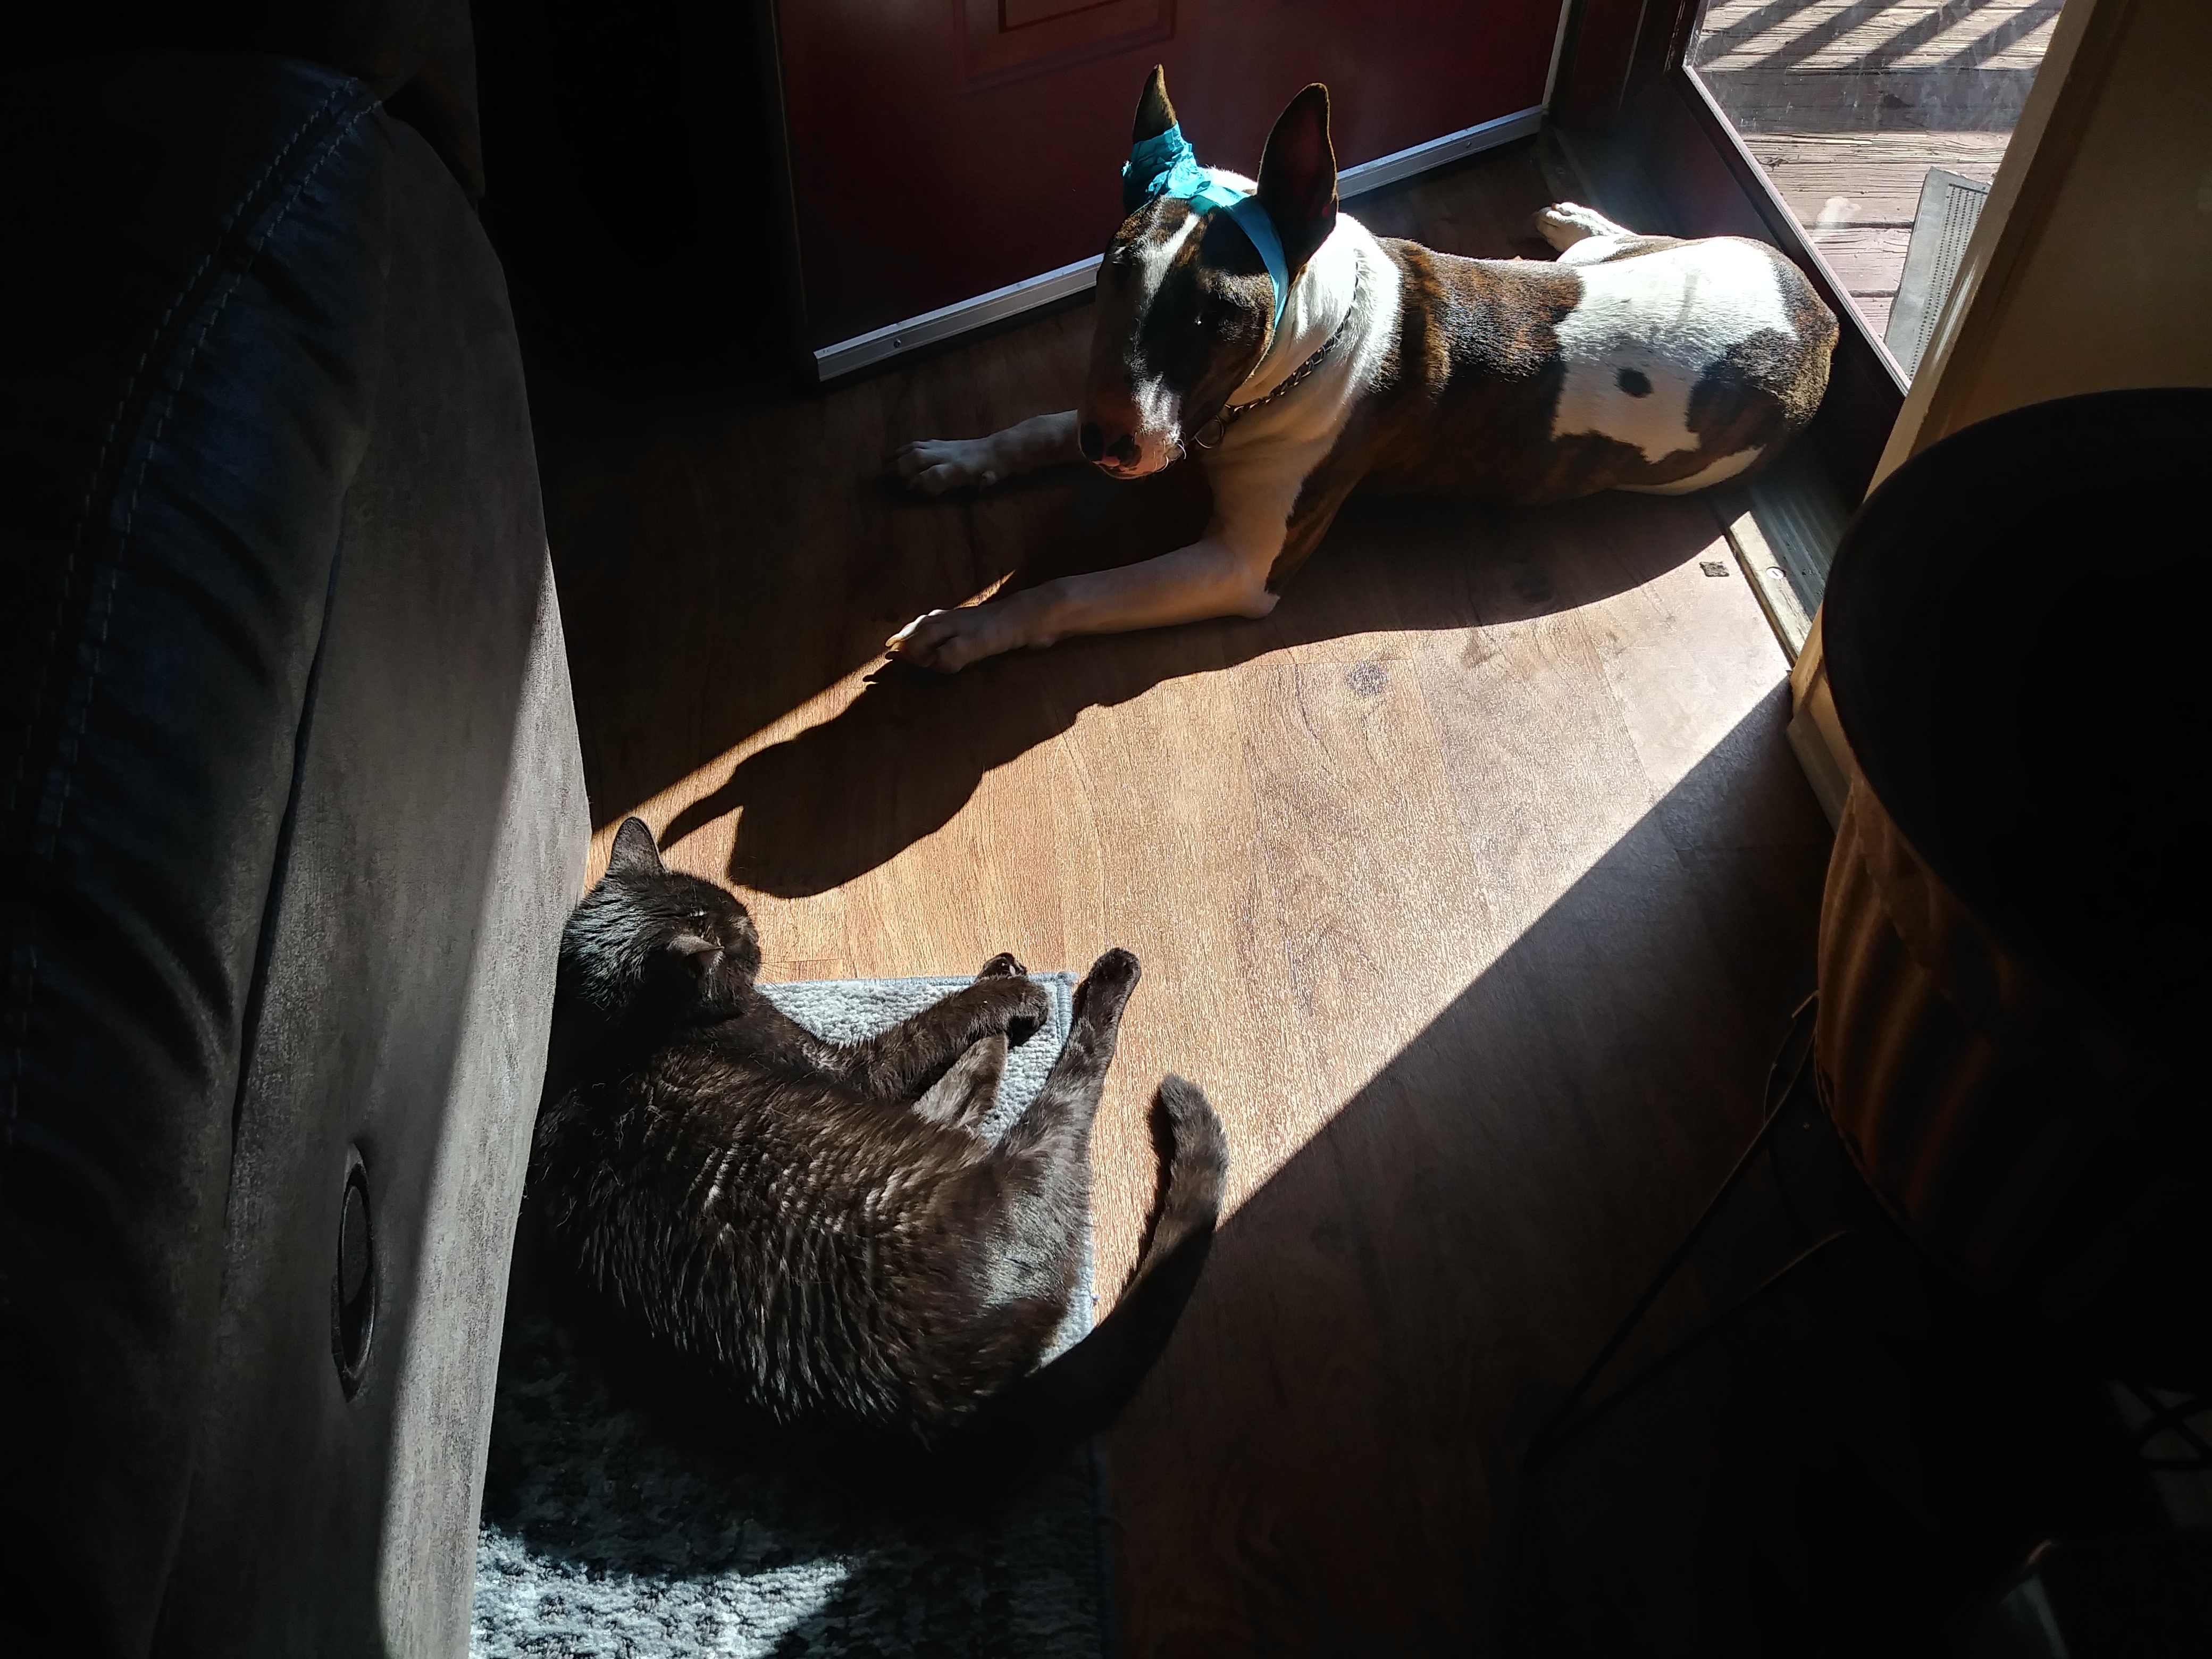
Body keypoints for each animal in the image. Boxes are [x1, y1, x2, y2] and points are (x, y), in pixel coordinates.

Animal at [529, 815, 1229, 1448]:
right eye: (732, 933)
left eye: (735, 915)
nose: (754, 927)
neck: (607, 1034)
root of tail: (953, 1416)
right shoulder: (850, 1069)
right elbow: (933, 1023)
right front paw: (1007, 993)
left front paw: (999, 975)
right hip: (1024, 1151)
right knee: (1068, 1073)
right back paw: (1075, 993)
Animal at [887, 67, 1836, 674]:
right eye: (1114, 273)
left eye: (1218, 314)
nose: (1113, 445)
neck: (1304, 349)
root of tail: (1817, 313)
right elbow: (1039, 426)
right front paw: (960, 458)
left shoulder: (1239, 566)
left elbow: (1076, 591)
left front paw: (974, 626)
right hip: (1619, 260)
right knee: (1611, 240)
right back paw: (1574, 217)